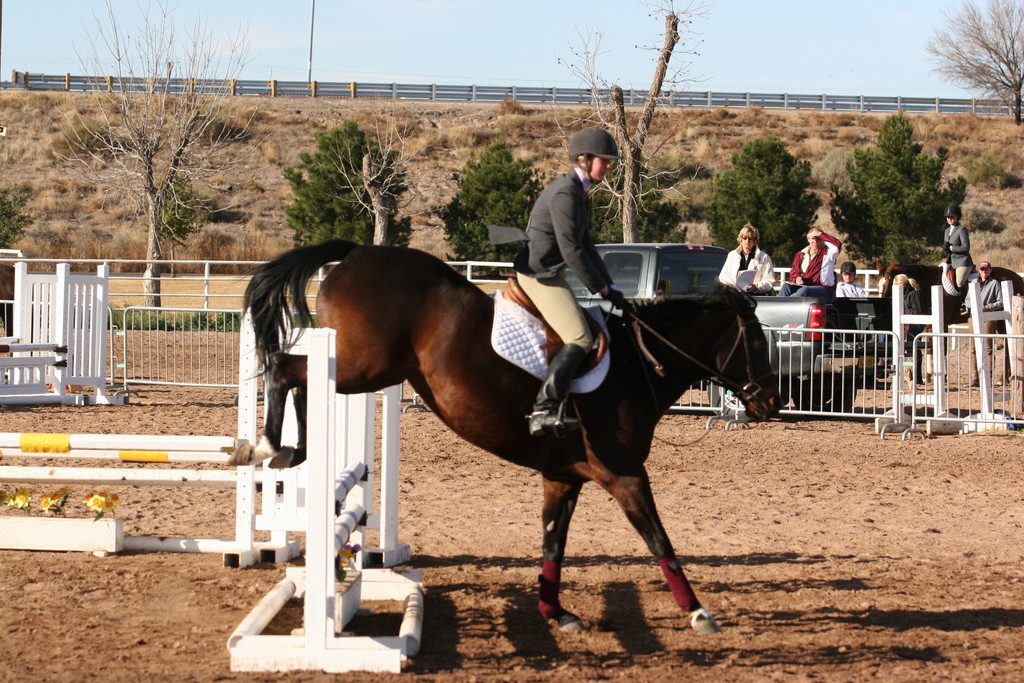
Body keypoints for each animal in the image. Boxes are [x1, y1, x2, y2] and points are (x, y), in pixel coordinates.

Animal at [230, 240, 774, 634]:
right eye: (755, 340)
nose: (771, 403)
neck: (637, 362)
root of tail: (359, 252)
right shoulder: (624, 474)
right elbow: (660, 540)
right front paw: (699, 611)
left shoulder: (563, 476)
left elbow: (553, 545)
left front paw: (557, 613)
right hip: (363, 364)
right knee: (285, 366)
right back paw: (267, 445)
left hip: (360, 368)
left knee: (300, 376)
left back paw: (288, 450)